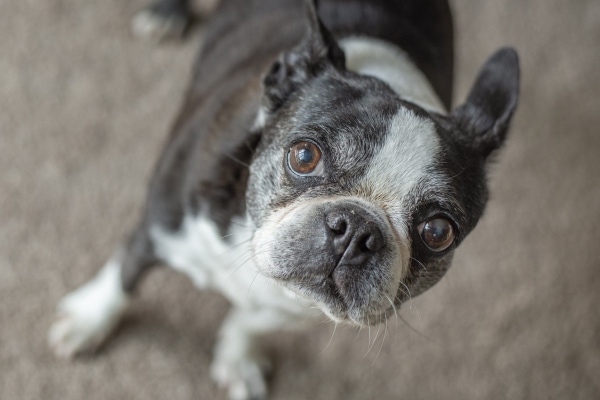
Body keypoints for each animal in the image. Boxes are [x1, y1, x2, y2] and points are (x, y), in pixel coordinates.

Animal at [49, 0, 520, 398]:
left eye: (438, 231)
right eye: (304, 156)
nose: (356, 230)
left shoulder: (296, 309)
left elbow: (253, 320)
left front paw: (238, 355)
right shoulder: (160, 224)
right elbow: (124, 274)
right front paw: (90, 320)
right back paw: (166, 14)